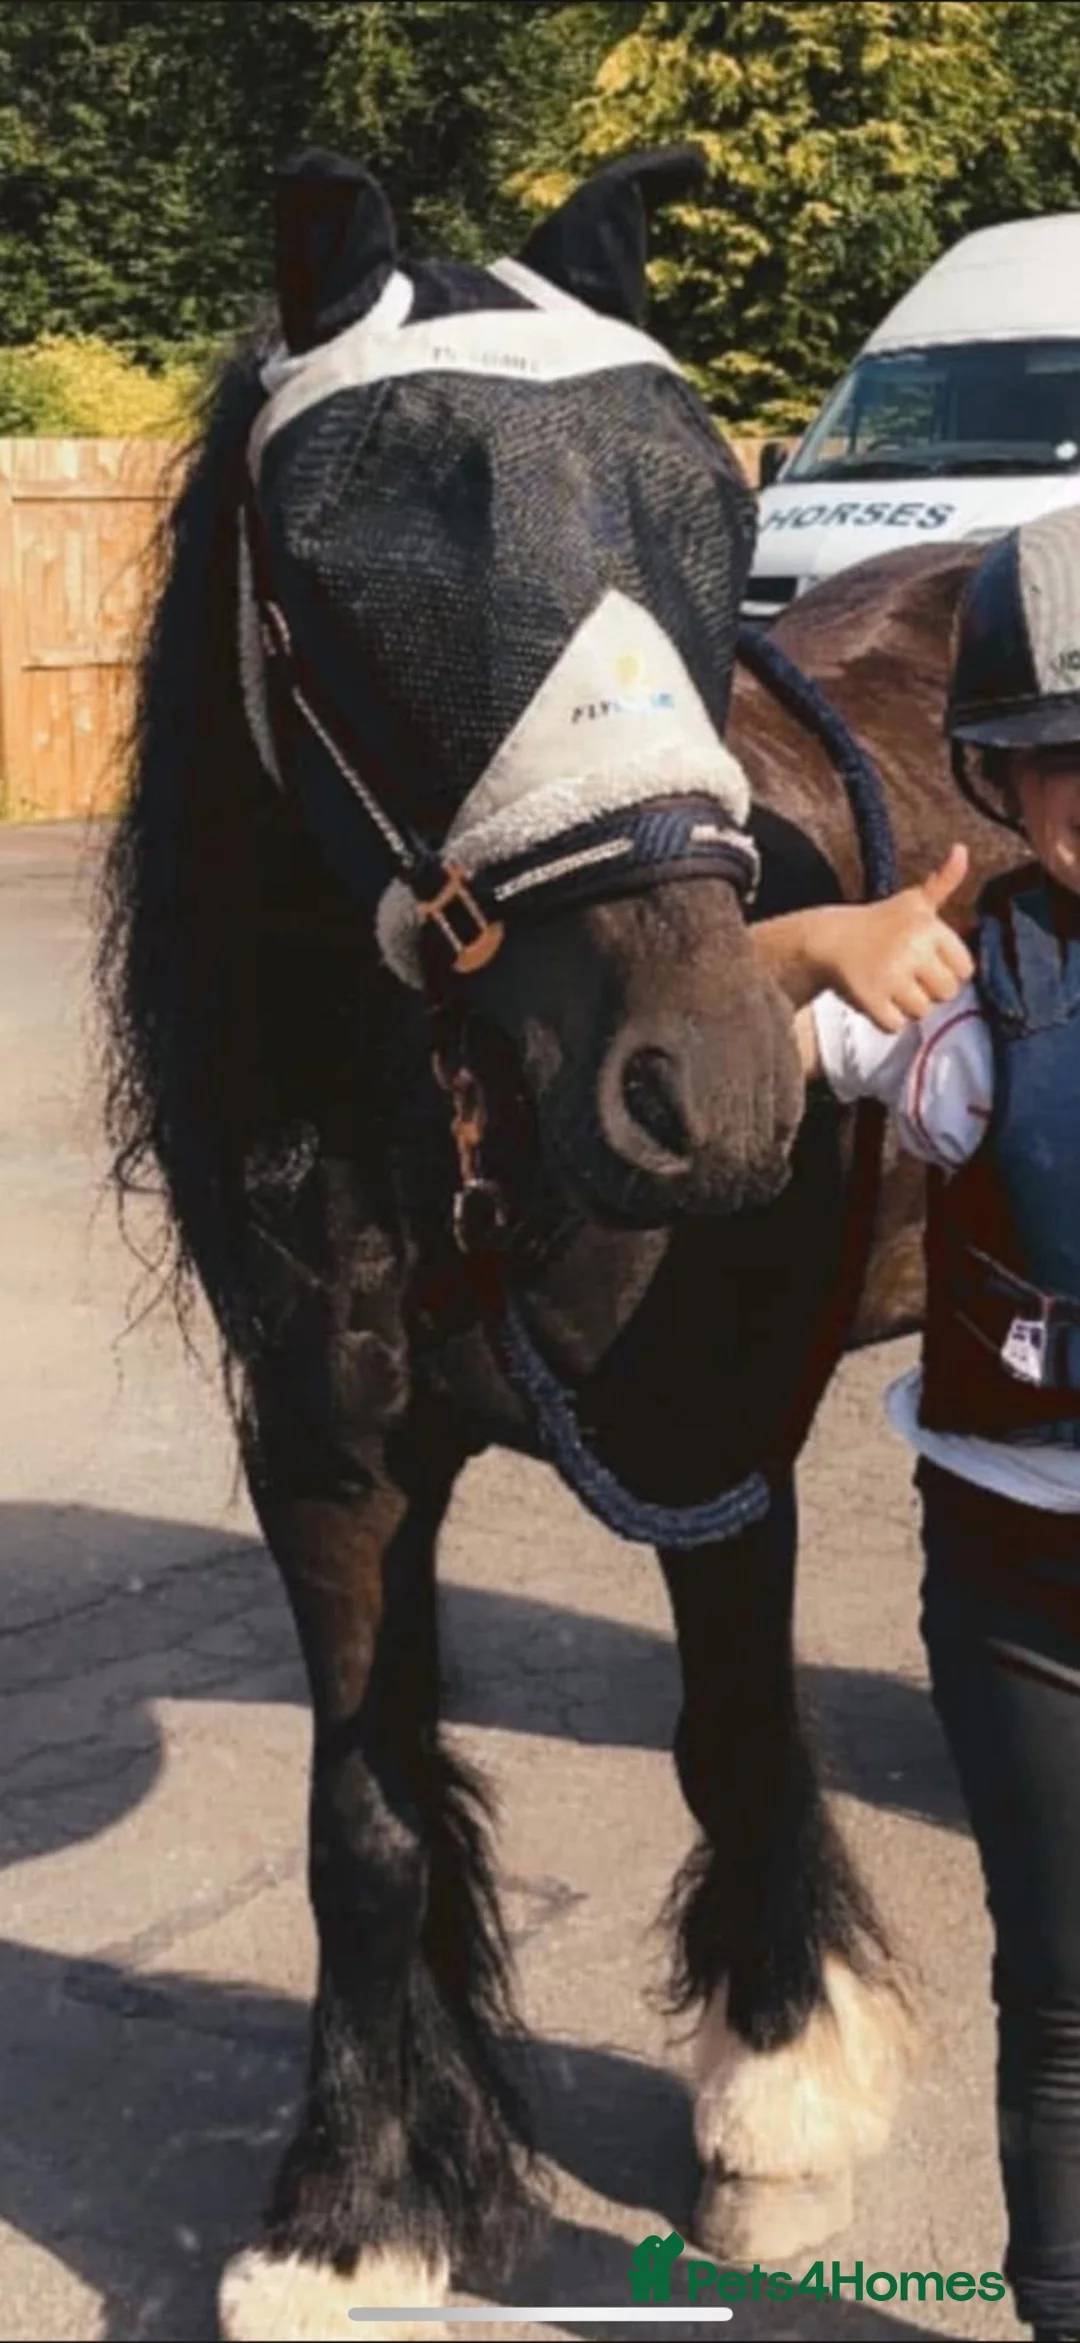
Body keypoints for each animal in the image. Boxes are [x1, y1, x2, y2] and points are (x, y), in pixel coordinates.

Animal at [96, 143, 1015, 2341]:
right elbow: (364, 1822)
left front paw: (778, 2104)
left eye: (714, 510)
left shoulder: (716, 1455)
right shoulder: (331, 1466)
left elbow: (731, 1737)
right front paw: (355, 2211)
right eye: (340, 557)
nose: (715, 1086)